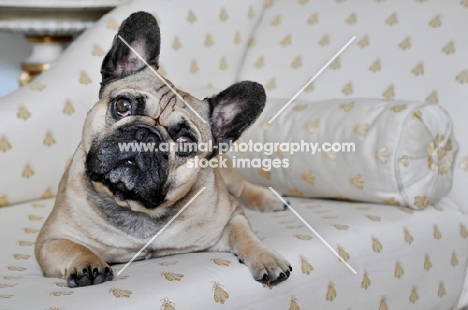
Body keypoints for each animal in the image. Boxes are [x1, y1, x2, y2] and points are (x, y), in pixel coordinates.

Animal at [34, 11, 290, 288]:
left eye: (185, 141)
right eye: (122, 105)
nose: (147, 134)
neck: (136, 207)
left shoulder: (231, 219)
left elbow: (246, 235)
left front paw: (266, 256)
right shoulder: (51, 239)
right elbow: (74, 247)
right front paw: (88, 263)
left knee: (241, 187)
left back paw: (270, 198)